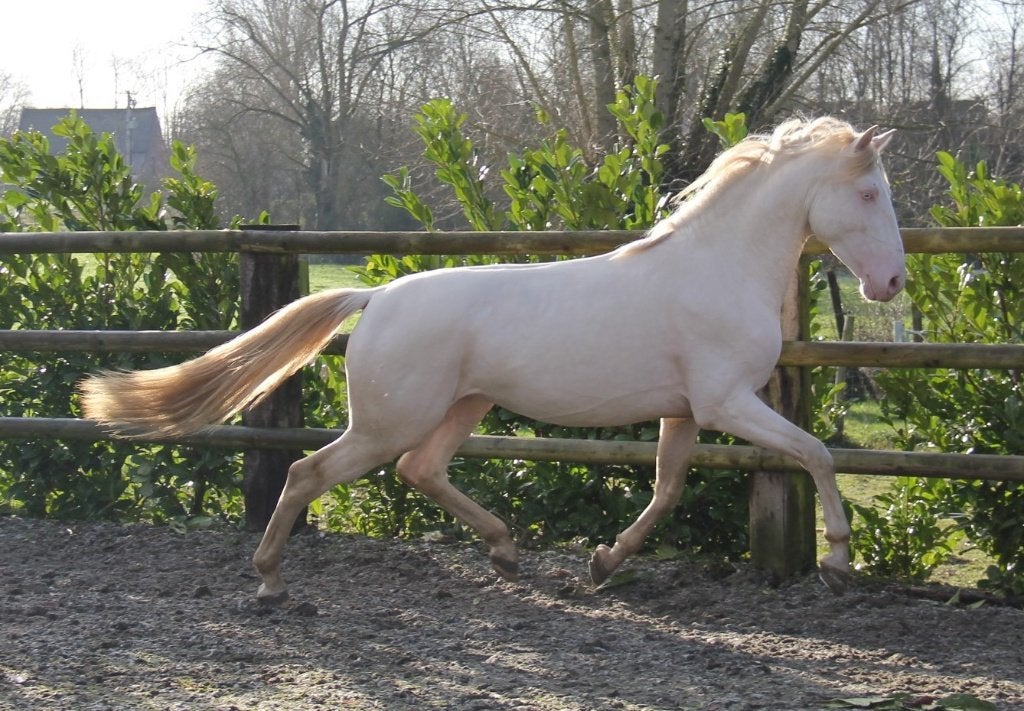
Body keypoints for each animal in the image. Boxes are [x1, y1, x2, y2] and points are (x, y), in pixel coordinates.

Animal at [80, 117, 905, 604]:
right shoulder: (729, 400)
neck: (717, 267)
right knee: (309, 472)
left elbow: (667, 491)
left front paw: (604, 563)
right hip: (391, 421)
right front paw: (838, 559)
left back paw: (506, 552)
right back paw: (271, 581)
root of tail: (376, 297)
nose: (891, 283)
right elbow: (817, 453)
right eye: (869, 193)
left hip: (462, 406)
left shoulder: (686, 411)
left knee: (420, 470)